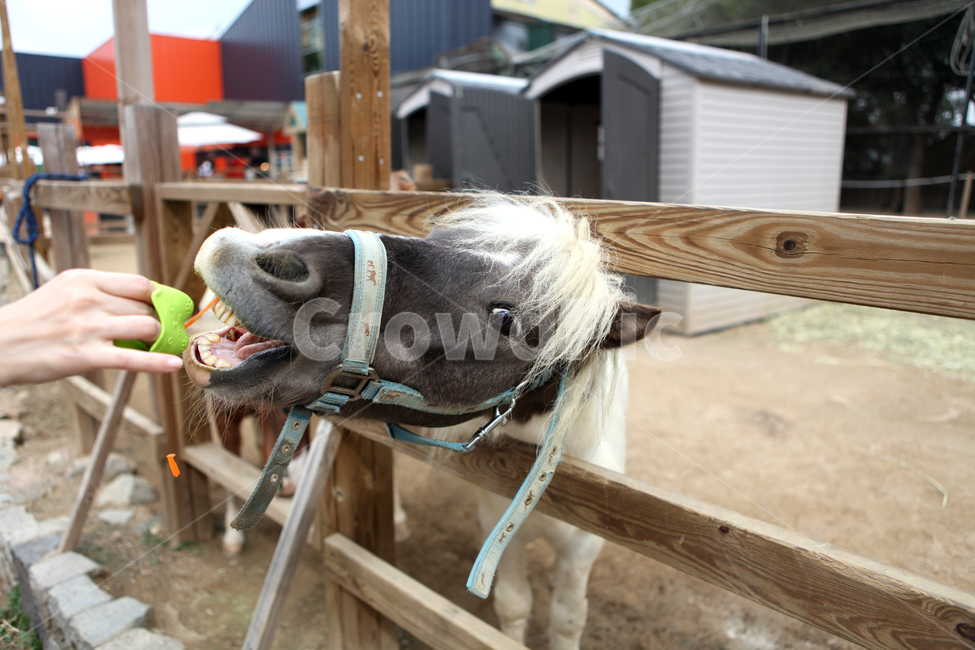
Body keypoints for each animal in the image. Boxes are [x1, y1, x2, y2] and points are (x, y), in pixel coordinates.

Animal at [183, 195, 659, 649]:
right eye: (440, 237)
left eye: (506, 319)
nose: (254, 251)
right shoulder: (496, 524)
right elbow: (514, 606)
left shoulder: (582, 549)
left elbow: (567, 619)